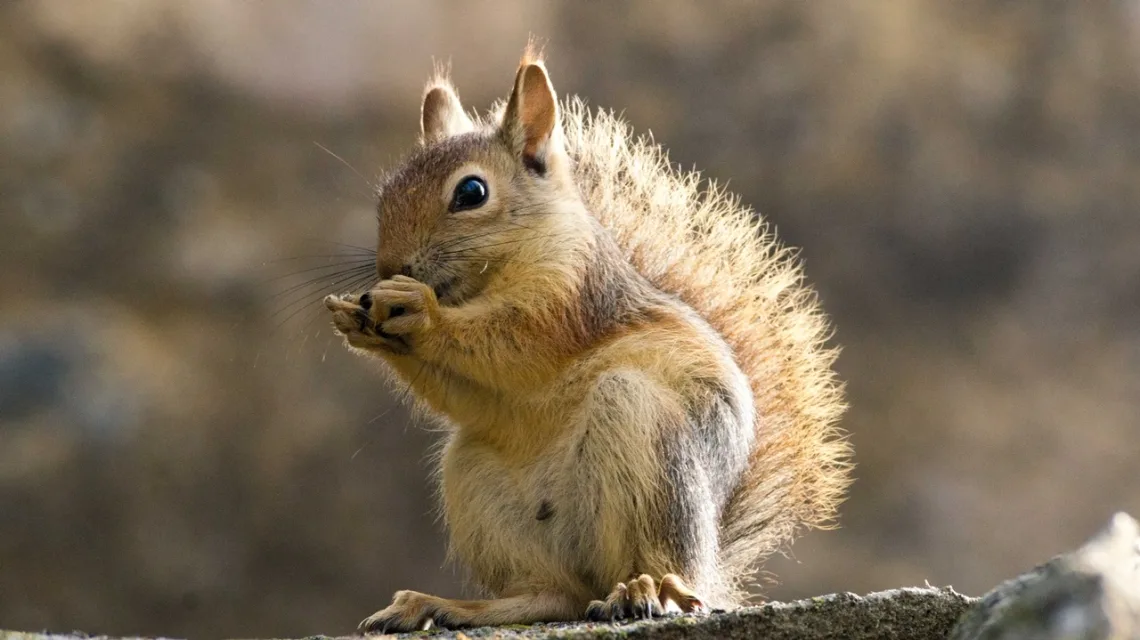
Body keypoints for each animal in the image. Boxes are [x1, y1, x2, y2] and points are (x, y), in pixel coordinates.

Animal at [324, 46, 851, 634]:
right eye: (384, 196)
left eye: (471, 192)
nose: (391, 267)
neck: (488, 278)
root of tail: (709, 570)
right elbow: (467, 392)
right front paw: (356, 321)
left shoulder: (572, 296)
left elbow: (510, 343)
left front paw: (419, 311)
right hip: (475, 475)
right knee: (553, 596)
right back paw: (447, 606)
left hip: (646, 445)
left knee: (647, 564)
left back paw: (650, 590)